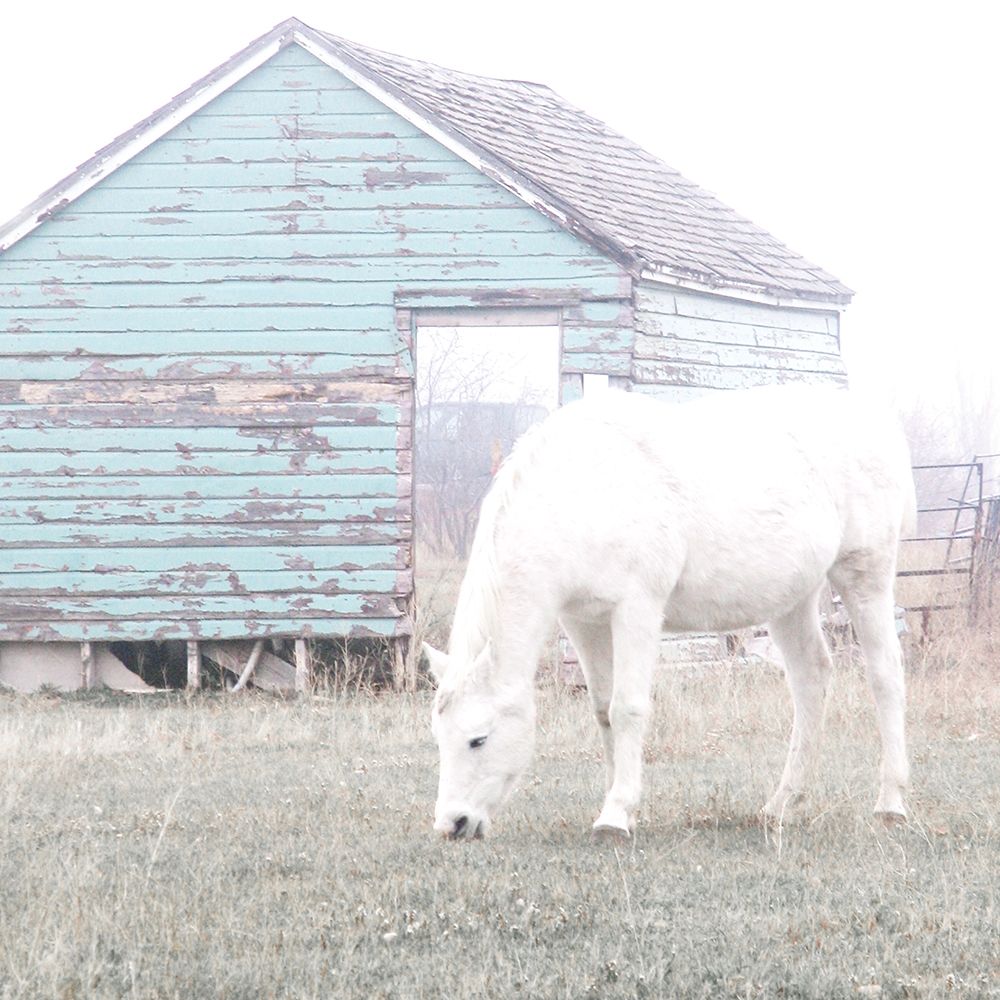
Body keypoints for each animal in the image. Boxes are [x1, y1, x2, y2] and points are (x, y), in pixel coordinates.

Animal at [423, 385, 916, 840]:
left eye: (478, 739)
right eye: (439, 739)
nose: (452, 824)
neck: (585, 488)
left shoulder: (637, 608)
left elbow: (627, 707)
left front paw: (616, 815)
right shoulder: (584, 621)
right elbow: (603, 711)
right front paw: (617, 802)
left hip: (864, 575)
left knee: (885, 676)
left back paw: (891, 802)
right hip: (793, 597)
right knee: (811, 679)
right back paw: (783, 803)